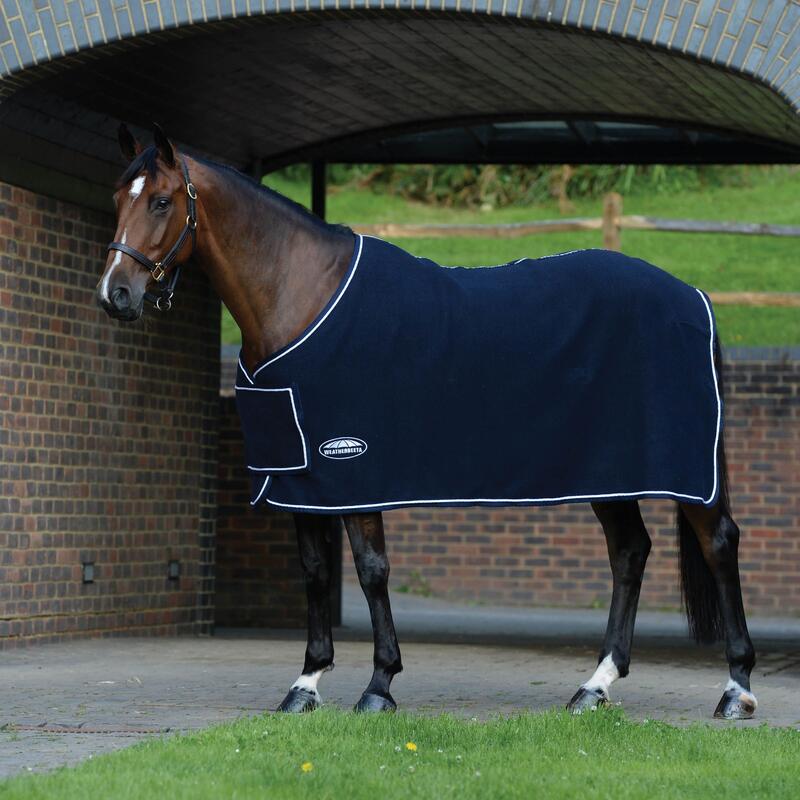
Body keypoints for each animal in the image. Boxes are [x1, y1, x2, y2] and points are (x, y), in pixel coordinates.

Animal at [97, 125, 760, 720]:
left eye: (161, 201)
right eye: (117, 198)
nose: (115, 294)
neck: (301, 295)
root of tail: (692, 295)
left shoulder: (354, 471)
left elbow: (371, 572)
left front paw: (379, 687)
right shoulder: (301, 478)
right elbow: (314, 573)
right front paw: (306, 684)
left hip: (680, 474)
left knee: (718, 544)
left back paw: (736, 689)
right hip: (608, 473)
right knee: (629, 553)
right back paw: (594, 686)